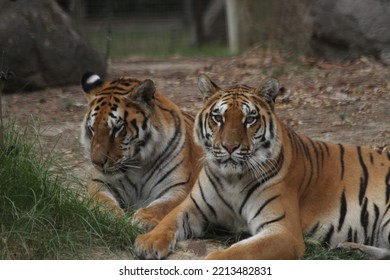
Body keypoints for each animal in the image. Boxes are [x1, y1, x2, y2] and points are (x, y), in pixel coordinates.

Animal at [78, 73, 201, 231]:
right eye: (91, 129)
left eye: (117, 129)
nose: (97, 163)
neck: (138, 166)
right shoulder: (99, 182)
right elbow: (102, 200)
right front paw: (109, 214)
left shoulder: (179, 188)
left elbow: (162, 205)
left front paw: (144, 219)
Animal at [134, 73, 390, 260]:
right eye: (218, 118)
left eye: (250, 119)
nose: (229, 147)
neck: (232, 179)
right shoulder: (192, 207)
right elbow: (168, 220)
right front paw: (148, 242)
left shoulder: (282, 231)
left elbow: (238, 252)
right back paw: (349, 247)